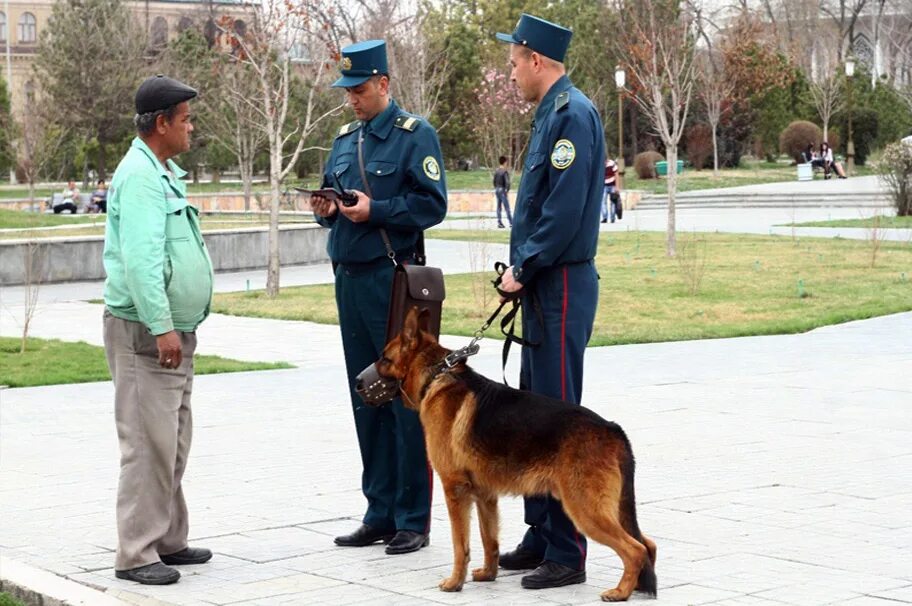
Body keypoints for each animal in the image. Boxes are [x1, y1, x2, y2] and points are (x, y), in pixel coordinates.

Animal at [366, 308, 660, 604]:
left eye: (384, 358)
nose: (357, 383)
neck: (436, 376)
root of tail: (612, 429)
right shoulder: (485, 495)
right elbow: (489, 539)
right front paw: (488, 574)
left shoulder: (455, 490)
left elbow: (461, 544)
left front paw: (455, 582)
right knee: (649, 544)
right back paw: (638, 586)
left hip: (585, 509)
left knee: (635, 549)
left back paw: (621, 591)